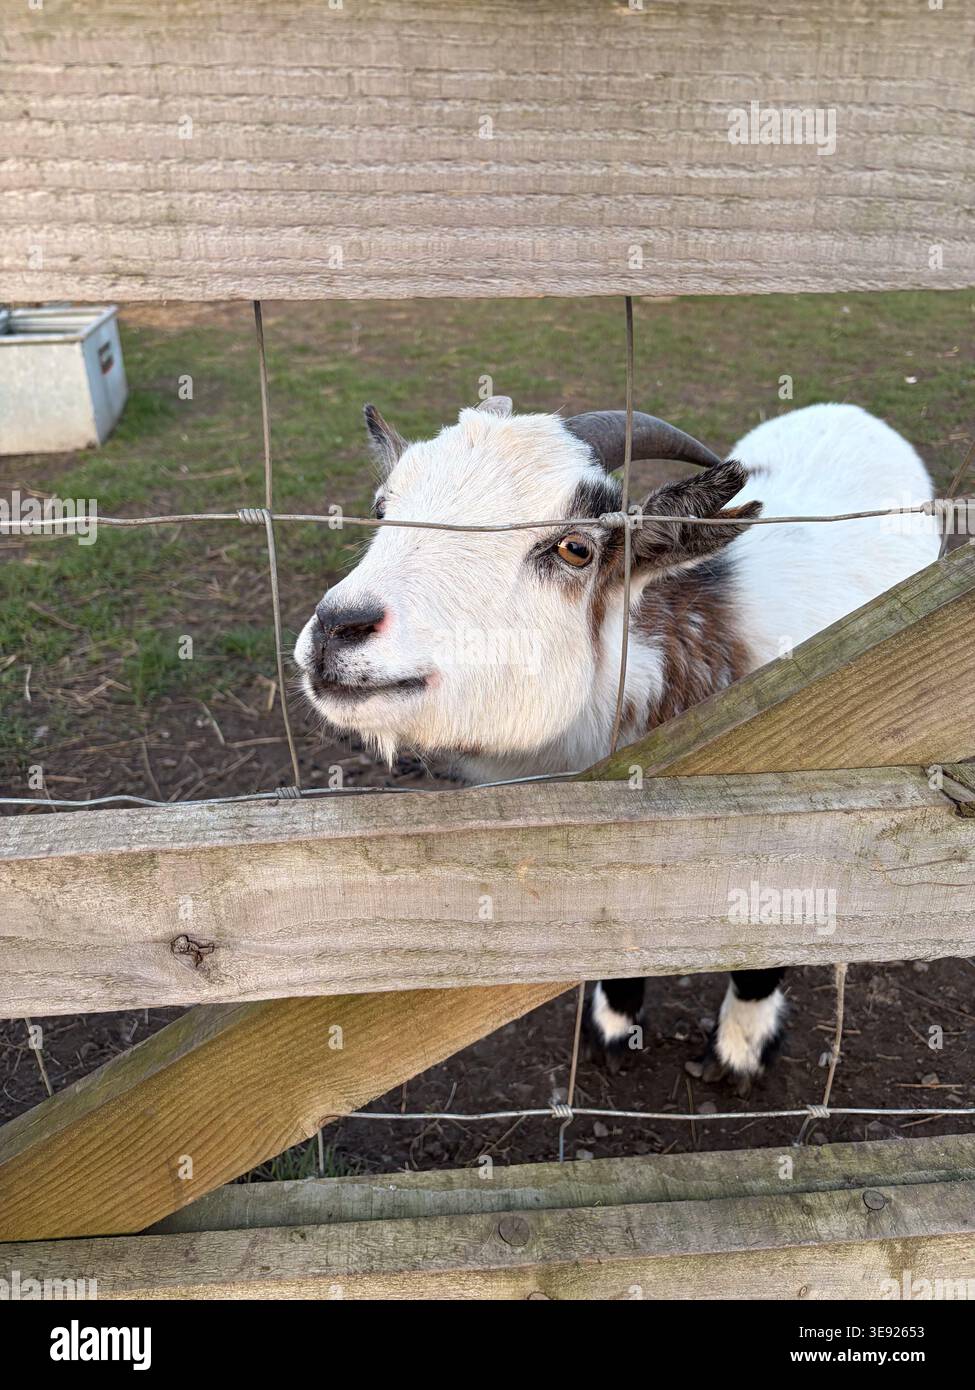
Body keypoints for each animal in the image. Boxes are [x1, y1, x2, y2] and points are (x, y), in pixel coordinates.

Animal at [295, 397, 938, 1089]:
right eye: (382, 509)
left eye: (575, 548)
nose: (340, 627)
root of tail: (845, 410)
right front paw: (615, 1020)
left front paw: (743, 1045)